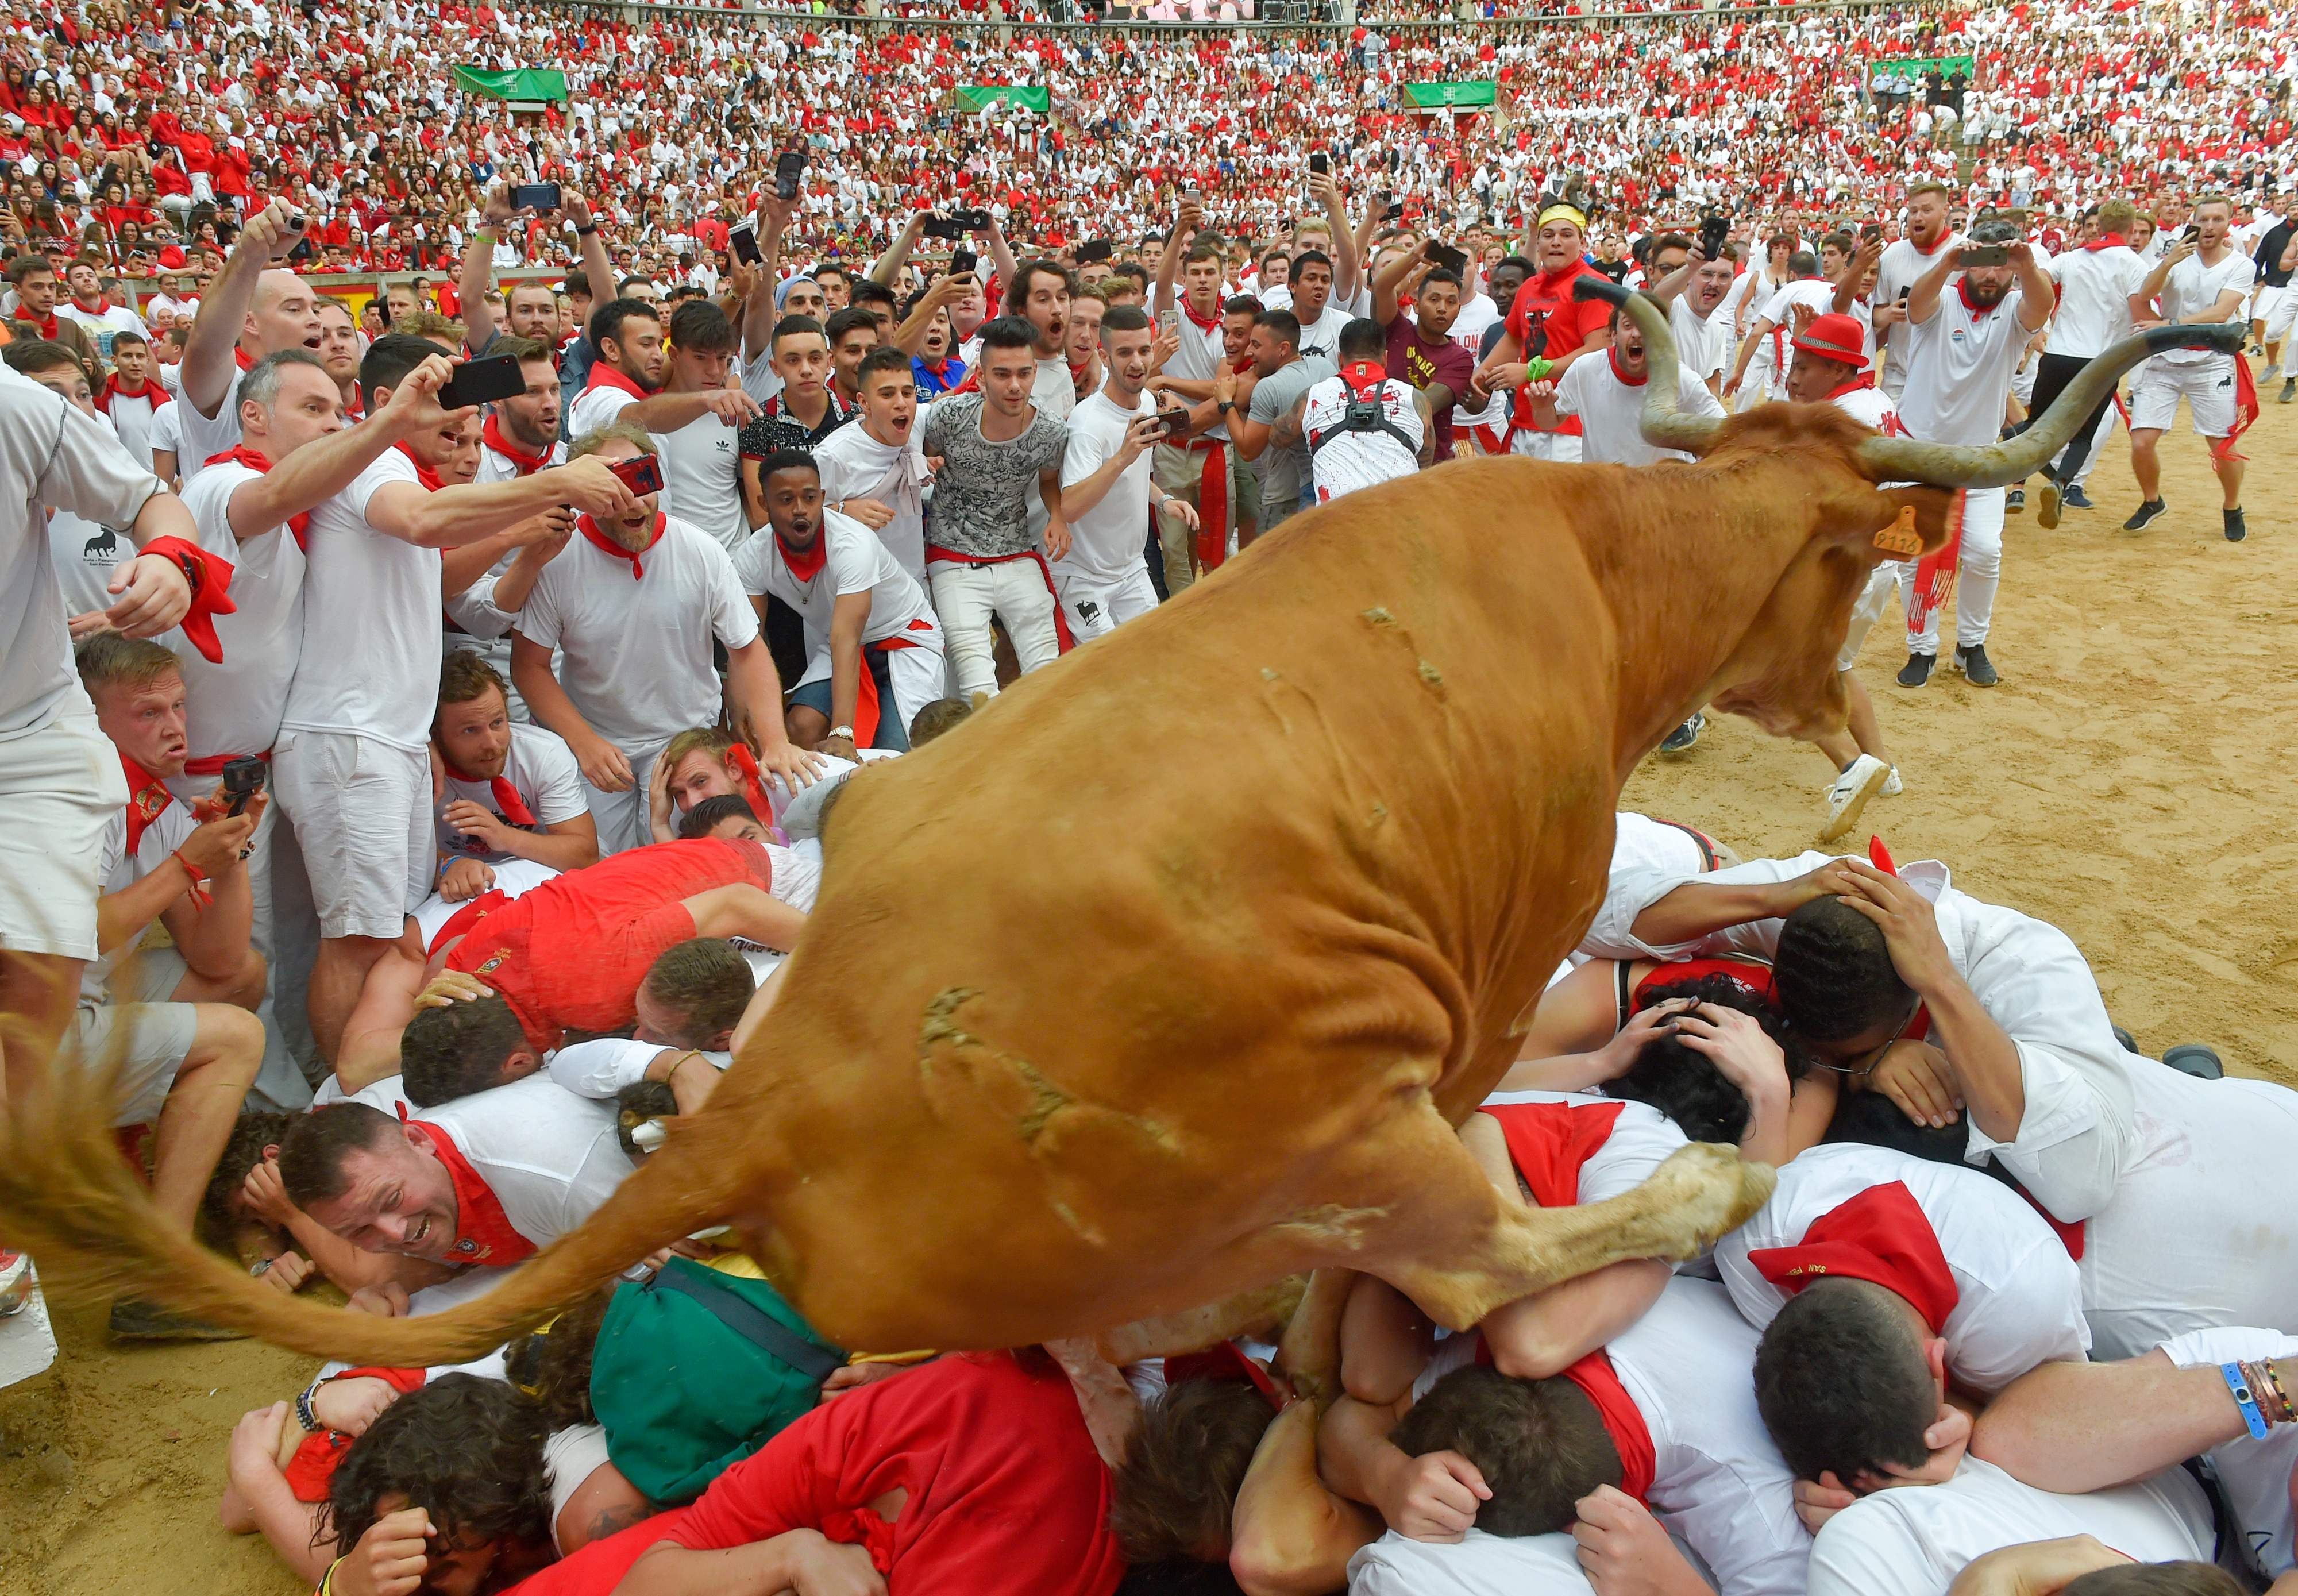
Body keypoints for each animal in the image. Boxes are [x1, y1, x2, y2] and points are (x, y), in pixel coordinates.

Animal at [0, 291, 2224, 1379]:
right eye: (1849, 557)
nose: (1844, 705)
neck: (1588, 569)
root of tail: (780, 1094)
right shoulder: (1508, 953)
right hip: (1355, 1128)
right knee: (1485, 1261)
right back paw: (1692, 1188)